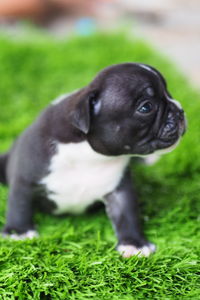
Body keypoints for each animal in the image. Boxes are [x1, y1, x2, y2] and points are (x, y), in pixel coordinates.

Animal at [0, 63, 186, 258]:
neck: (90, 155)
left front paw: (134, 244)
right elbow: (19, 204)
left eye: (169, 92)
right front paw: (18, 232)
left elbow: (127, 214)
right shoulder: (25, 178)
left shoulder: (119, 191)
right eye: (146, 107)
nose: (180, 111)